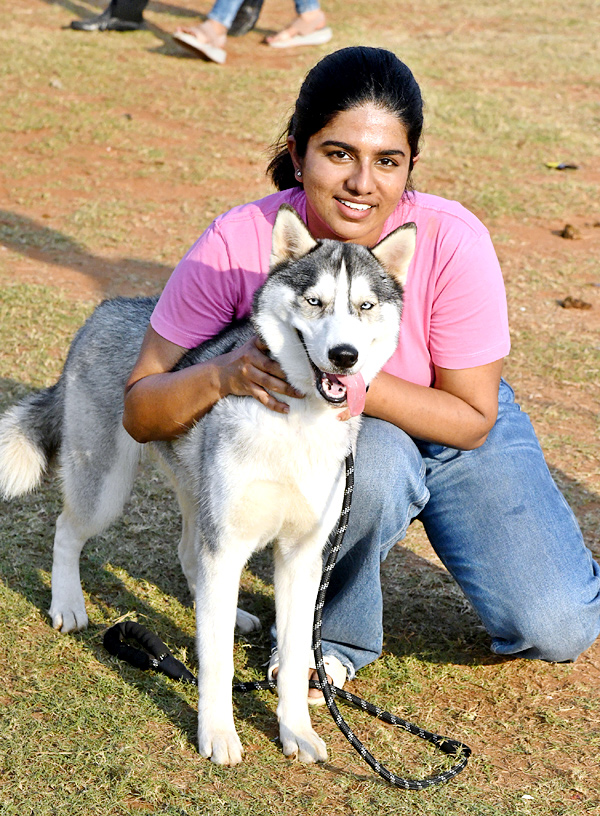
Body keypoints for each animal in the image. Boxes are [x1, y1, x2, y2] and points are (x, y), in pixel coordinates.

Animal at [0, 204, 414, 764]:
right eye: (315, 302)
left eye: (365, 306)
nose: (344, 356)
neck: (298, 421)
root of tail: (106, 309)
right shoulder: (229, 543)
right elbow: (216, 662)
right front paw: (217, 733)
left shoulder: (301, 557)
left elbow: (293, 658)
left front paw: (296, 730)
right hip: (106, 491)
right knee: (68, 529)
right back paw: (68, 605)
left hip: (199, 502)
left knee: (190, 557)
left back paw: (228, 613)